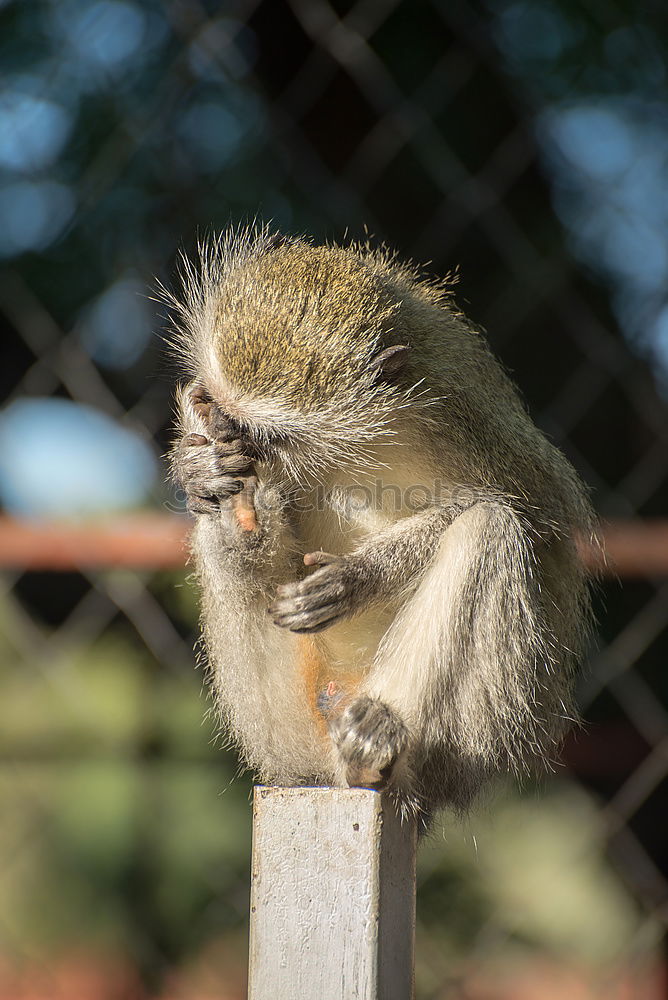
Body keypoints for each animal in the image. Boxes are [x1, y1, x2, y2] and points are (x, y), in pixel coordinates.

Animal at [167, 230, 596, 824]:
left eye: (268, 436)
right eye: (215, 407)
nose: (224, 438)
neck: (368, 437)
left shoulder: (470, 420)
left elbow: (534, 517)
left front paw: (357, 577)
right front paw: (202, 469)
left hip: (470, 744)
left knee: (491, 529)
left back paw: (375, 752)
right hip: (282, 733)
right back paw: (237, 525)